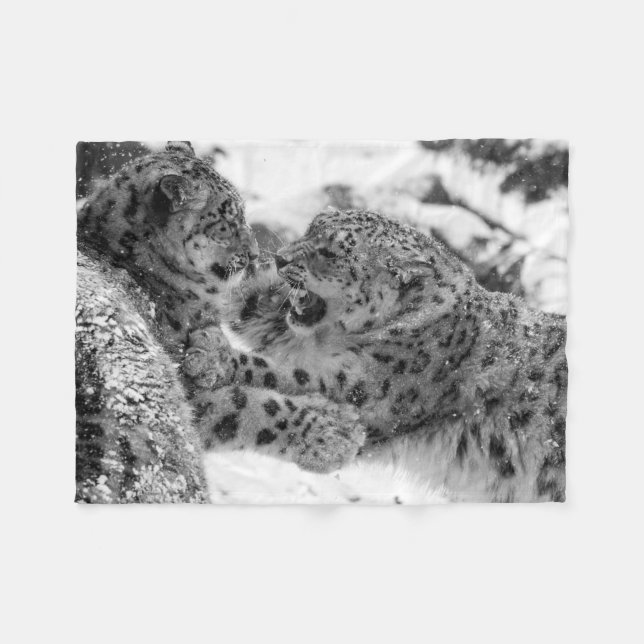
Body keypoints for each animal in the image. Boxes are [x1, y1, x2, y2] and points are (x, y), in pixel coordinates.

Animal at [186, 209, 567, 502]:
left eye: (333, 253)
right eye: (310, 229)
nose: (281, 259)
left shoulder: (370, 391)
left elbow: (284, 376)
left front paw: (214, 355)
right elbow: (255, 305)